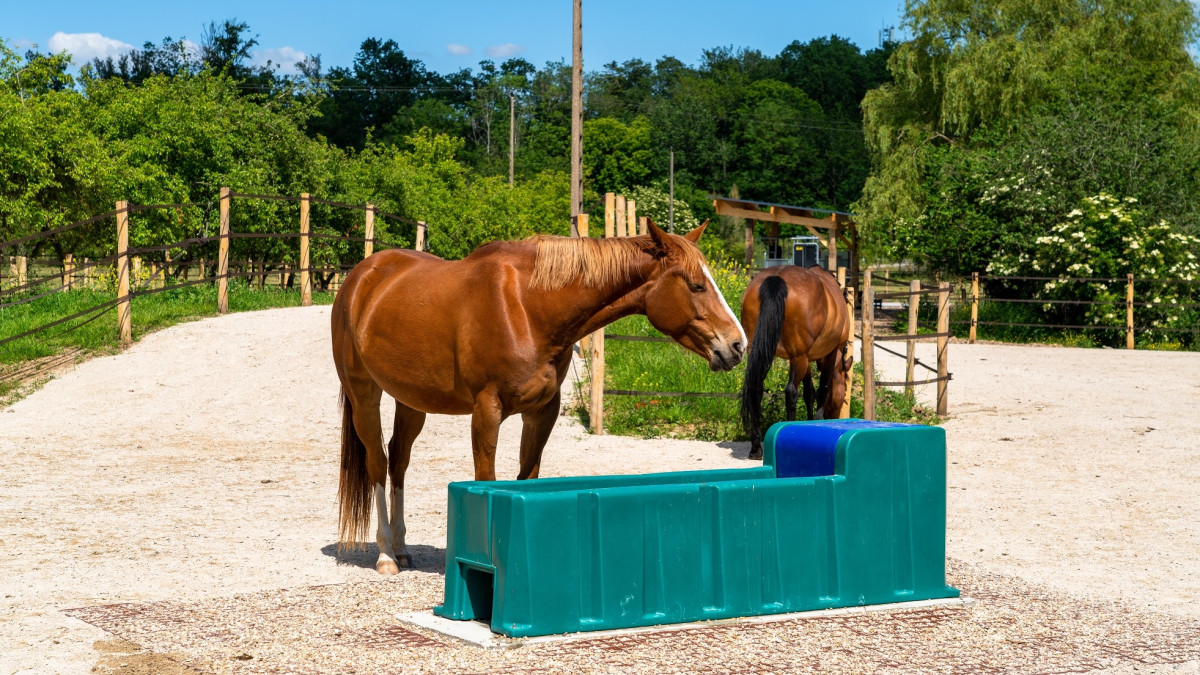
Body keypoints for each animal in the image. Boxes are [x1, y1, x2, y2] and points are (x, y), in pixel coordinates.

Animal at [328, 220, 739, 571]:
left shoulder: (542, 413)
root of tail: (360, 277)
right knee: (378, 464)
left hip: (412, 400)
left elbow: (527, 478)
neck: (528, 307)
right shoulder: (487, 411)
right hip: (364, 395)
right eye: (696, 285)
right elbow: (487, 479)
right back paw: (386, 555)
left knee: (398, 461)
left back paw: (401, 548)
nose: (737, 345)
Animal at [739, 263, 854, 456]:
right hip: (797, 357)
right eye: (844, 392)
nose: (836, 417)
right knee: (791, 392)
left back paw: (756, 447)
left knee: (756, 388)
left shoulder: (806, 358)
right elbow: (822, 391)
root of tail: (777, 277)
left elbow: (809, 393)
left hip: (763, 351)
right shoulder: (832, 353)